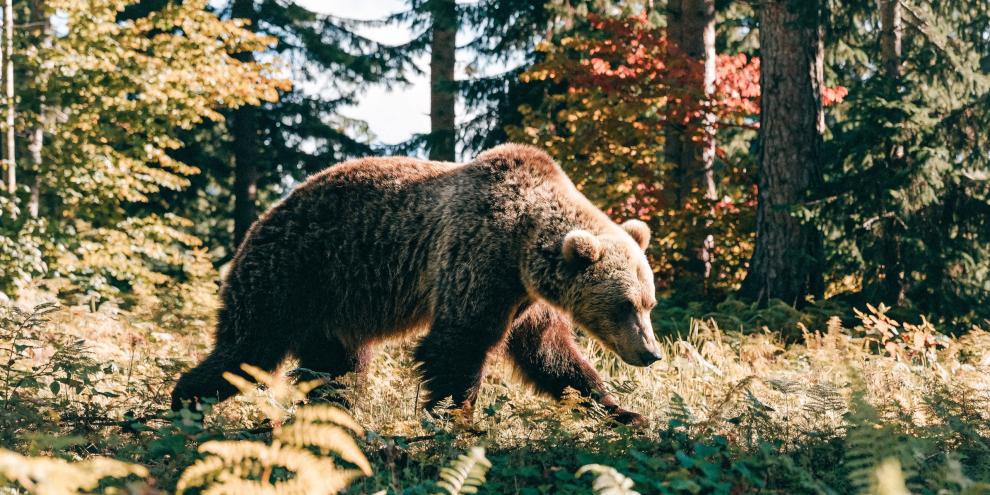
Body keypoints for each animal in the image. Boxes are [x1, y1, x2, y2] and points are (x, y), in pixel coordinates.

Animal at [171, 143, 662, 425]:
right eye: (624, 305)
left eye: (648, 303)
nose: (651, 353)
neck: (522, 242)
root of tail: (260, 220)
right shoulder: (477, 255)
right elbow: (457, 344)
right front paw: (453, 421)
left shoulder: (525, 297)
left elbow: (551, 355)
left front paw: (622, 411)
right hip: (290, 273)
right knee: (249, 348)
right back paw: (184, 404)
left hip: (334, 307)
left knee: (334, 370)